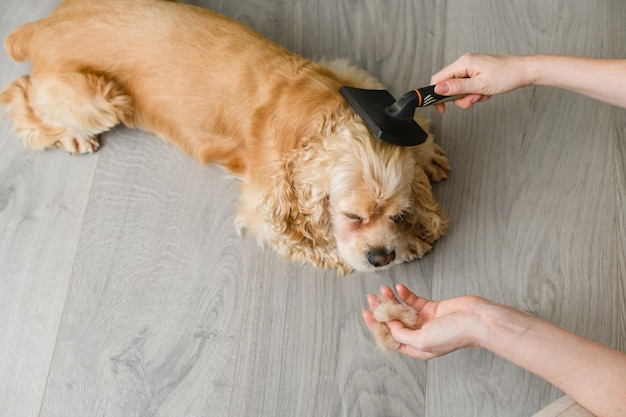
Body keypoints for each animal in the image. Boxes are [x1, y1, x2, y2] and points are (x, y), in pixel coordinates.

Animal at [0, 0, 448, 274]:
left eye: (397, 214)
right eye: (353, 217)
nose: (381, 256)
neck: (317, 115)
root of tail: (41, 26)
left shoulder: (347, 75)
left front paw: (426, 161)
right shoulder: (265, 207)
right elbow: (314, 242)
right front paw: (408, 245)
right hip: (101, 99)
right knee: (22, 97)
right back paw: (71, 136)